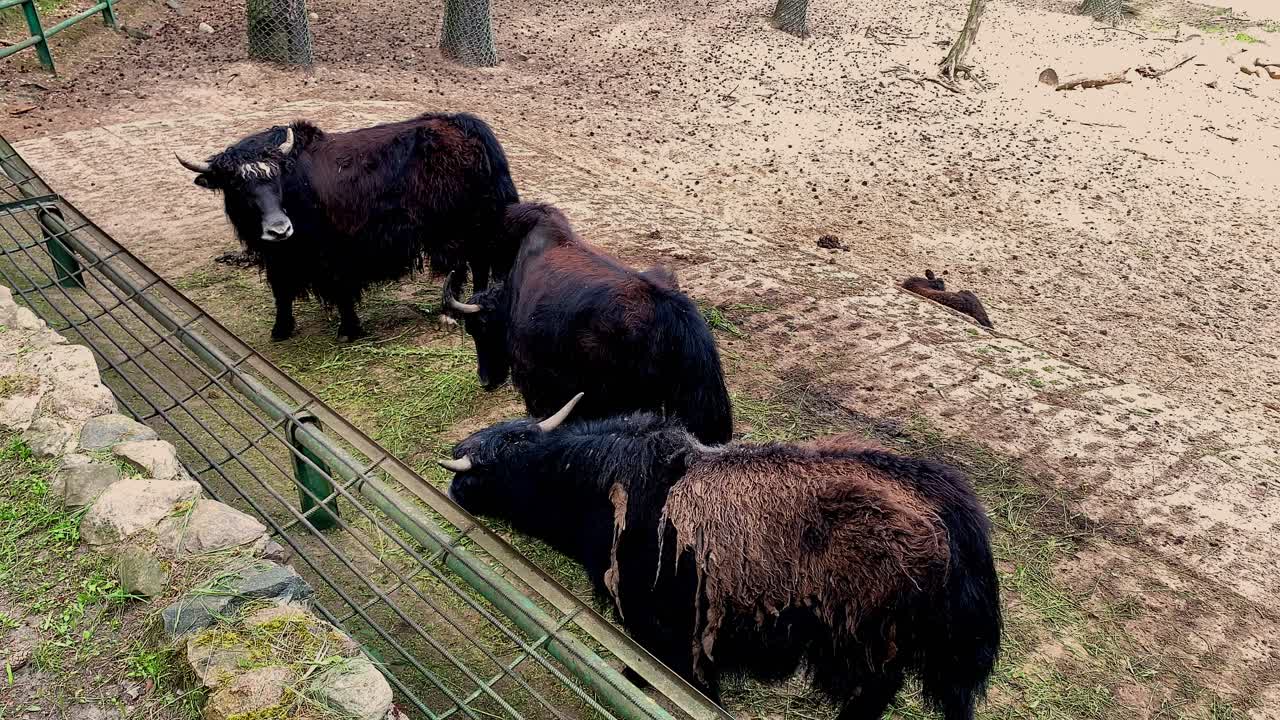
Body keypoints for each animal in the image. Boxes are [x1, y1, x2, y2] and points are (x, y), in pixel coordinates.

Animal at [176, 112, 519, 341]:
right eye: (235, 184)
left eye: (276, 177)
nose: (279, 229)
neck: (294, 189)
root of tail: (464, 125)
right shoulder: (278, 257)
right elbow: (281, 290)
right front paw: (281, 329)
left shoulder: (333, 251)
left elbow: (340, 288)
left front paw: (349, 330)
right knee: (474, 262)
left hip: (464, 224)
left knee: (472, 261)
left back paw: (451, 314)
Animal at [439, 395, 1002, 720]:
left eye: (485, 472)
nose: (453, 489)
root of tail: (956, 517)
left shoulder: (658, 620)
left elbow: (677, 678)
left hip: (865, 642)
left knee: (875, 692)